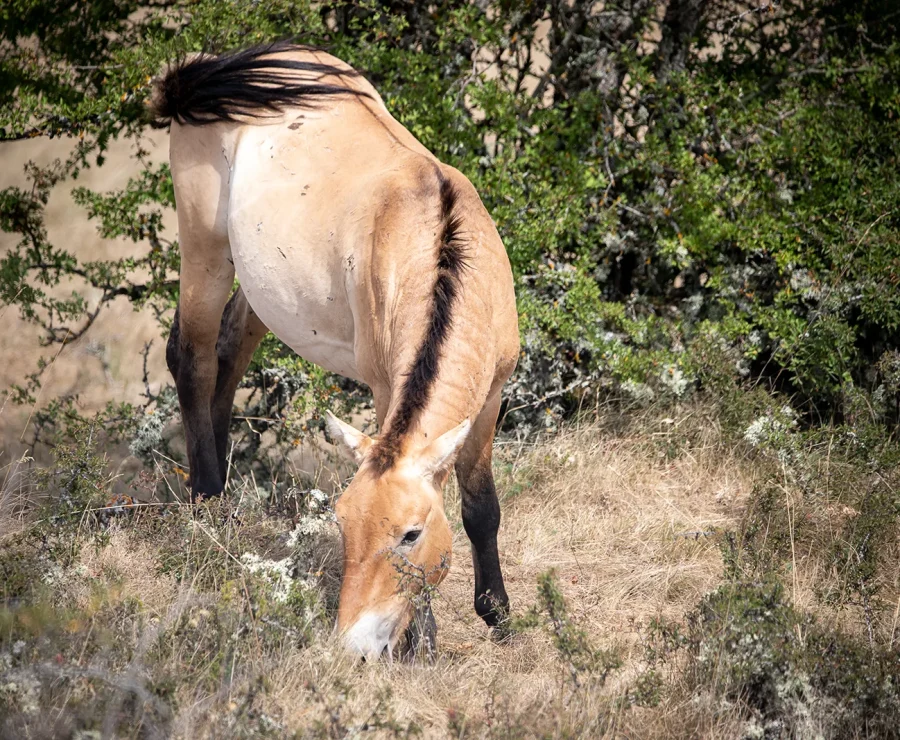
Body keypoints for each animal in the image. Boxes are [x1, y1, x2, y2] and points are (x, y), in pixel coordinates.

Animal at [150, 42, 519, 659]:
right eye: (343, 524)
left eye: (410, 534)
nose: (354, 647)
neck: (444, 250)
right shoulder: (385, 388)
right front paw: (424, 640)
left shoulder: (490, 398)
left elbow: (481, 508)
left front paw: (499, 616)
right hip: (205, 250)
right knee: (192, 359)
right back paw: (207, 504)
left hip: (259, 288)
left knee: (225, 359)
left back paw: (222, 493)